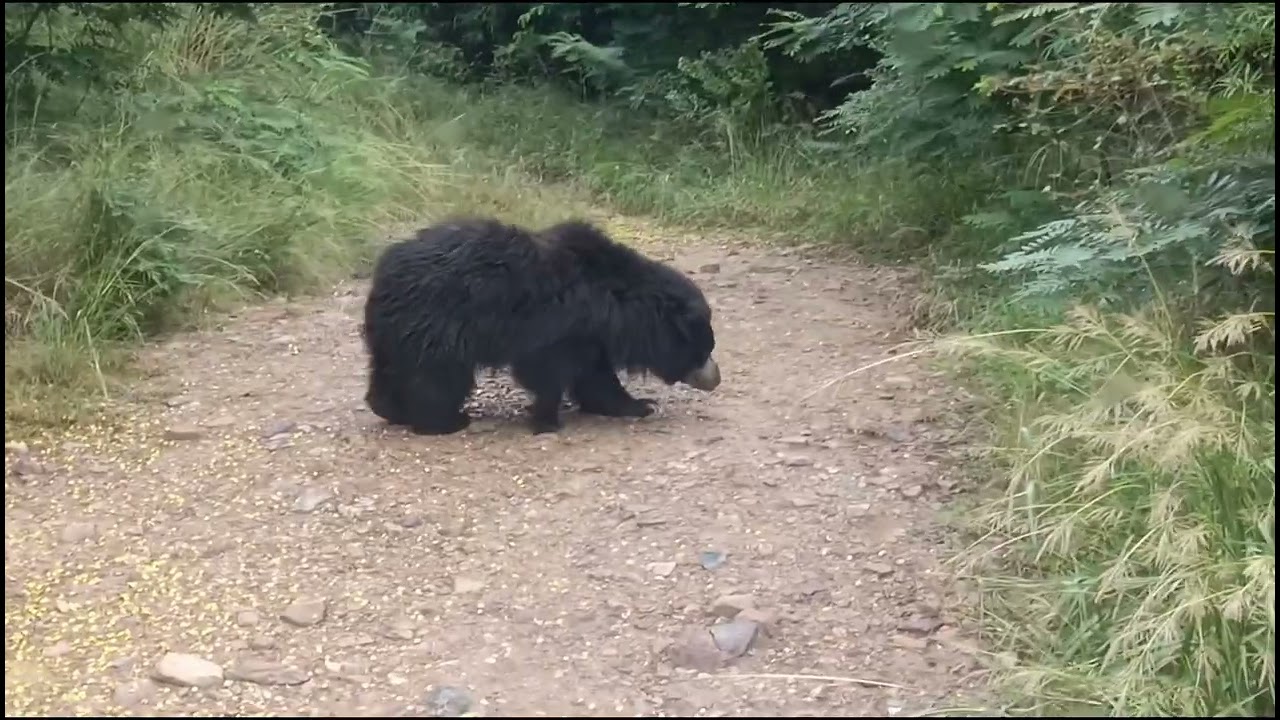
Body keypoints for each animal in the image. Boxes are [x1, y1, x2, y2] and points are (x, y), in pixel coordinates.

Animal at [361, 216, 721, 435]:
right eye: (702, 349)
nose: (716, 379)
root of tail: (382, 278)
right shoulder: (557, 327)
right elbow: (548, 371)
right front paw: (547, 420)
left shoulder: (589, 336)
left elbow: (596, 377)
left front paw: (638, 405)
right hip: (440, 327)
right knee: (438, 378)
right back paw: (446, 420)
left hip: (399, 334)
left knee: (391, 370)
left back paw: (389, 410)